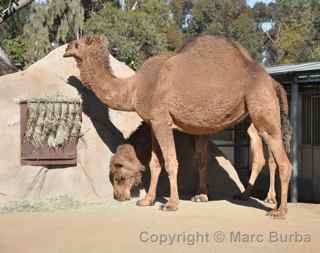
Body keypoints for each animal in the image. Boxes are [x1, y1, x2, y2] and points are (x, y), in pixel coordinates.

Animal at [62, 35, 292, 219]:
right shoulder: (153, 123)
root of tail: (272, 82)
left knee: (281, 160)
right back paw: (248, 196)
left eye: (119, 176)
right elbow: (156, 163)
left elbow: (171, 162)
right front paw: (147, 201)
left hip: (263, 109)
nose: (119, 197)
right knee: (264, 155)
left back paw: (278, 210)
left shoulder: (162, 120)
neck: (133, 88)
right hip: (253, 116)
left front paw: (171, 204)